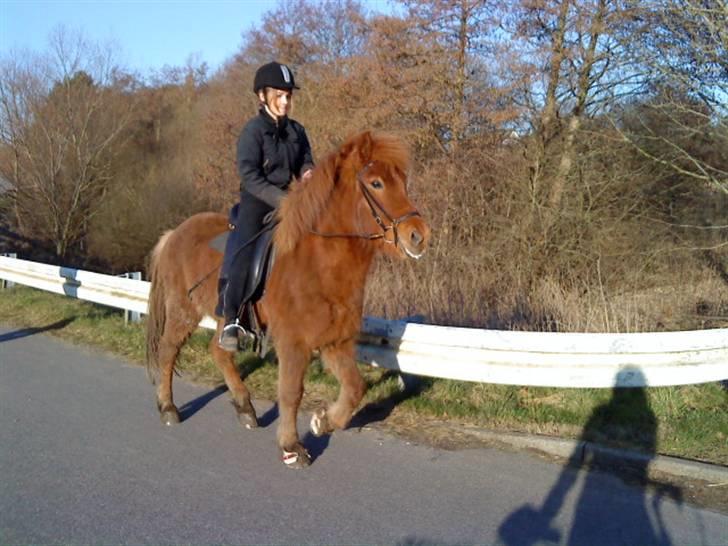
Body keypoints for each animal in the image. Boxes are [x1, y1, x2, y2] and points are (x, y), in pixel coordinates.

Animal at [145, 130, 430, 466]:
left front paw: (323, 421)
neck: (319, 263)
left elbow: (355, 388)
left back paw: (245, 408)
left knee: (220, 352)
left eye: (402, 181)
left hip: (224, 317)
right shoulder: (294, 342)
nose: (419, 235)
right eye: (376, 183)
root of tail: (174, 233)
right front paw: (292, 446)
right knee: (168, 352)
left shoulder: (336, 341)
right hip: (182, 311)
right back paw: (168, 408)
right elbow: (291, 392)